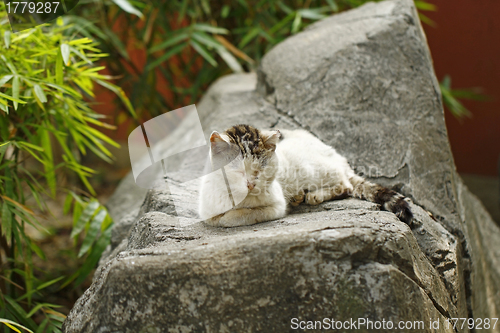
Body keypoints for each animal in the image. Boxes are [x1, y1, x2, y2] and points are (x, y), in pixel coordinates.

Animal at [199, 123, 414, 227]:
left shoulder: (276, 206)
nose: (251, 185)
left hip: (314, 169)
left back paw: (313, 195)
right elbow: (213, 218)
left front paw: (230, 216)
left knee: (345, 185)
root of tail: (339, 157)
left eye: (261, 169)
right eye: (237, 170)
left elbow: (239, 216)